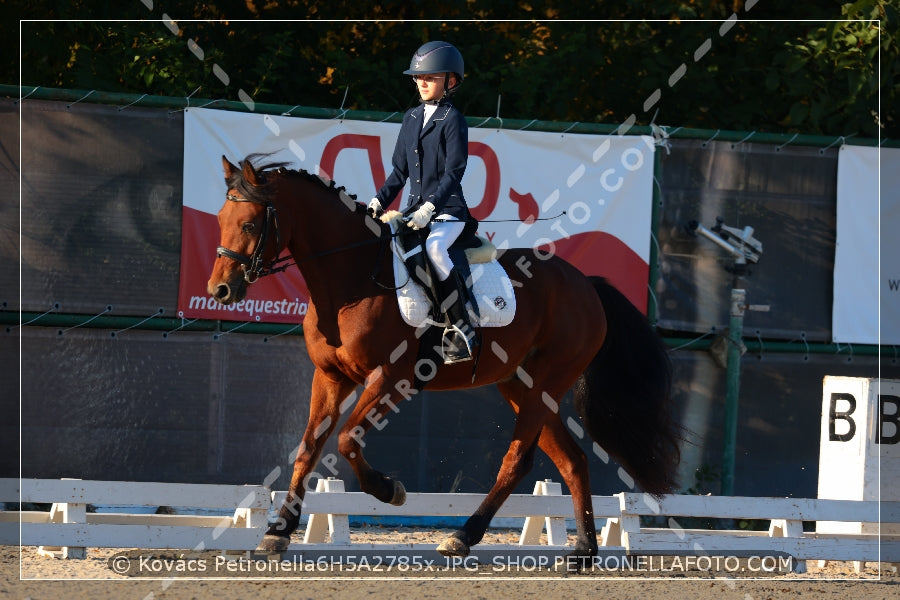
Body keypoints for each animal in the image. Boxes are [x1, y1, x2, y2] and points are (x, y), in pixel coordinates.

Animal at [206, 154, 684, 564]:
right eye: (219, 222)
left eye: (249, 223)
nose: (220, 291)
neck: (351, 277)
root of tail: (586, 284)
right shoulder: (330, 376)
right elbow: (308, 448)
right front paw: (278, 533)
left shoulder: (392, 378)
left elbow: (346, 440)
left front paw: (389, 490)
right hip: (522, 385)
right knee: (572, 460)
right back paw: (583, 551)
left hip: (546, 383)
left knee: (518, 460)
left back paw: (463, 536)